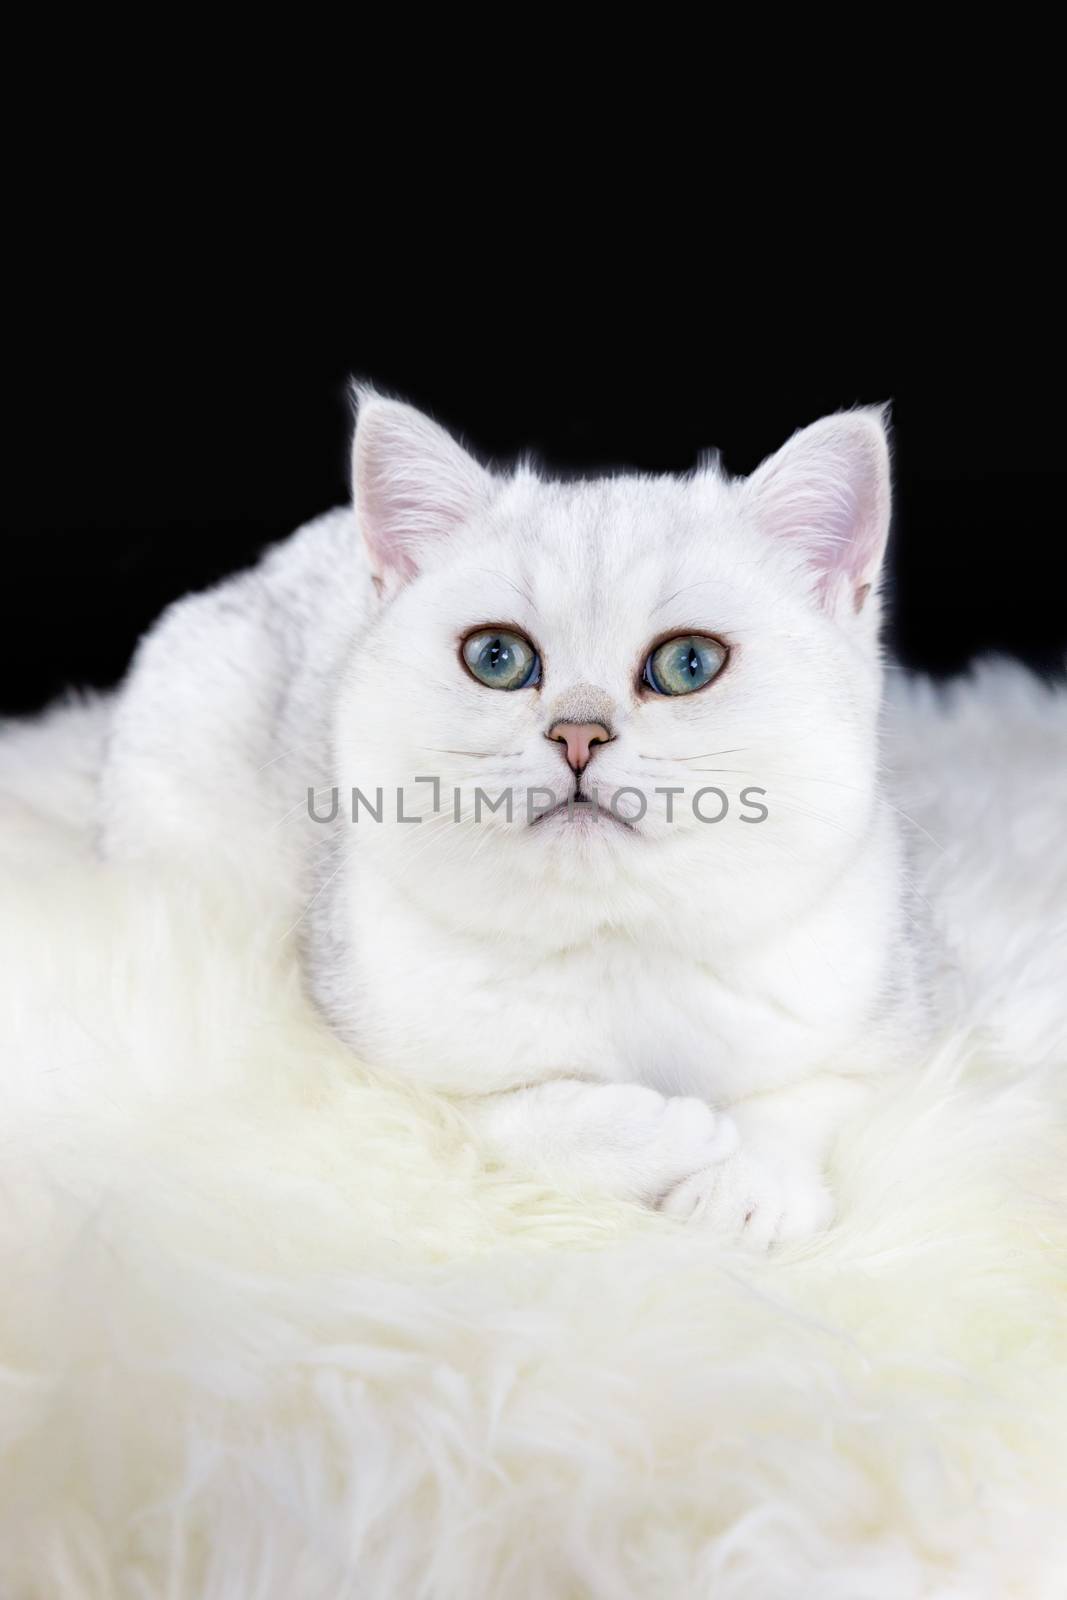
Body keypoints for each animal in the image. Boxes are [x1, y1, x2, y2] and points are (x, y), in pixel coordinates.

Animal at [102, 393, 934, 1241]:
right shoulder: (368, 1051)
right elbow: (501, 1119)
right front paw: (666, 1131)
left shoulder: (889, 1012)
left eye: (688, 664)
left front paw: (747, 1184)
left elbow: (810, 1094)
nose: (577, 734)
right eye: (497, 658)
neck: (613, 938)